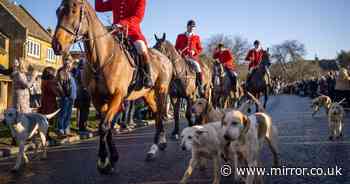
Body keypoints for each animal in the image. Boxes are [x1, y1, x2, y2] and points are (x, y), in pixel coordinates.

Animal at [51, 0, 172, 174]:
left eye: (73, 11)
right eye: (57, 11)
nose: (56, 44)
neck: (101, 58)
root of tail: (165, 58)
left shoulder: (117, 96)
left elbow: (104, 126)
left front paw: (103, 161)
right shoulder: (98, 99)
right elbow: (107, 127)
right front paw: (112, 158)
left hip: (161, 90)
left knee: (161, 113)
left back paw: (158, 143)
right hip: (147, 94)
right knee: (156, 113)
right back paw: (156, 145)